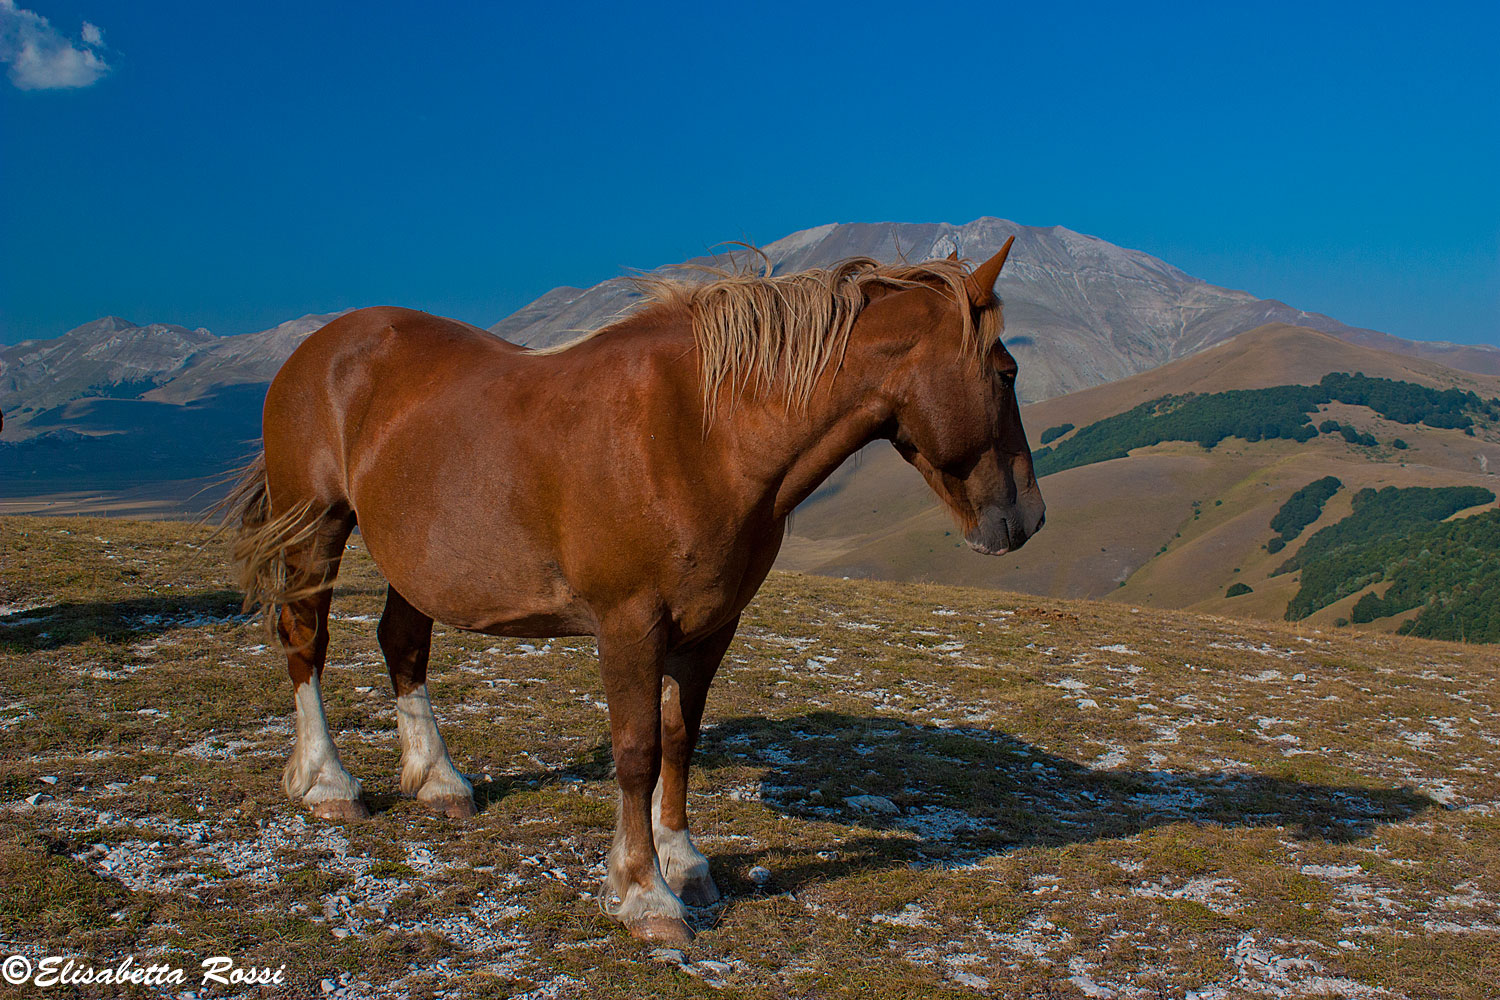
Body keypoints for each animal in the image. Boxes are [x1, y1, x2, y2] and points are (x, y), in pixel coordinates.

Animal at [219, 238, 1045, 944]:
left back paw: (439, 780)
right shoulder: (630, 625)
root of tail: (316, 350)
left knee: (402, 645)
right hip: (316, 525)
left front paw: (684, 862)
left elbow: (681, 739)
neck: (702, 433)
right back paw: (327, 782)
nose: (1028, 519)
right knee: (306, 640)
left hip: (415, 560)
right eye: (1006, 373)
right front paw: (646, 893)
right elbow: (638, 750)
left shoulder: (710, 627)